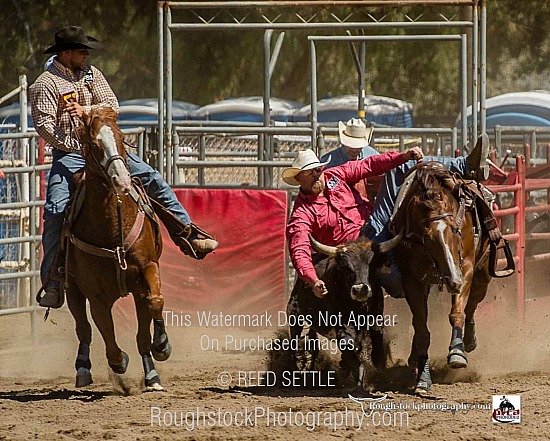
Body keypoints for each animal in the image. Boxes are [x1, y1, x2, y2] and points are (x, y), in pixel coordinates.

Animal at [63, 106, 170, 388]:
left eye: (121, 137)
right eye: (94, 144)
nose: (121, 179)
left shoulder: (147, 271)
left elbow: (154, 305)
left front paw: (160, 348)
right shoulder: (96, 295)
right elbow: (108, 339)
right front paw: (120, 362)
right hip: (71, 289)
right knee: (84, 330)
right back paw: (83, 369)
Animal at [394, 161, 494, 392]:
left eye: (456, 230)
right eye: (426, 237)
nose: (454, 281)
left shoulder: (465, 268)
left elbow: (457, 313)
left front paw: (457, 352)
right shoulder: (411, 281)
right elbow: (422, 329)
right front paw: (423, 378)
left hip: (482, 274)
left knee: (472, 304)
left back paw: (469, 340)